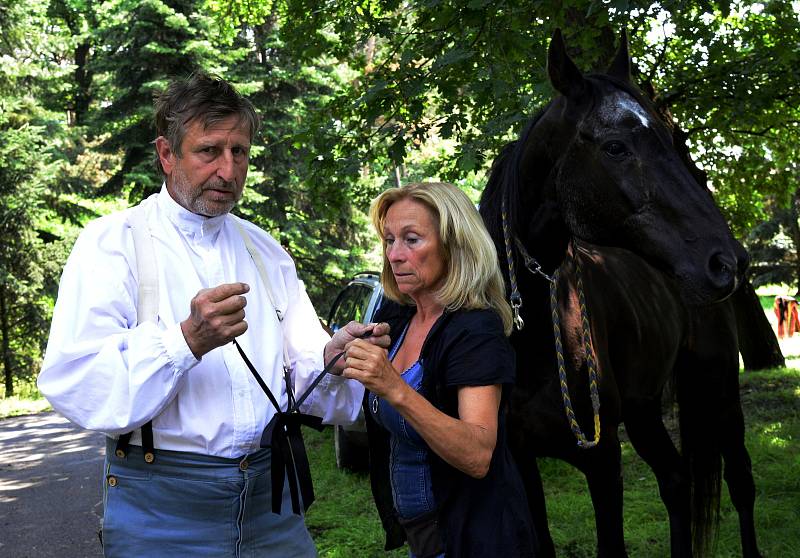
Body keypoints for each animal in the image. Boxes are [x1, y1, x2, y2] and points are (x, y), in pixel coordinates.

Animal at [482, 31, 764, 558]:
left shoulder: (603, 460)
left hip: (716, 389)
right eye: (615, 147)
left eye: (674, 143)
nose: (728, 263)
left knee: (739, 482)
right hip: (645, 408)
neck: (530, 342)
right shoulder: (518, 460)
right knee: (676, 480)